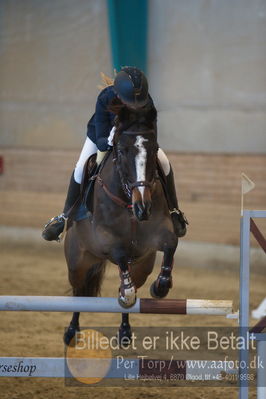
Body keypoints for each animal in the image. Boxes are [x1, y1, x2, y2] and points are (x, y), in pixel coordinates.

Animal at [63, 103, 178, 346]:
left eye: (154, 149)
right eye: (123, 151)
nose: (143, 208)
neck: (128, 200)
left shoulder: (157, 232)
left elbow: (170, 243)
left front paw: (161, 286)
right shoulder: (105, 236)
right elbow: (119, 252)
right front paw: (129, 291)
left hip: (142, 266)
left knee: (130, 285)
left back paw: (125, 332)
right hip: (78, 263)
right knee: (79, 292)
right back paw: (71, 332)